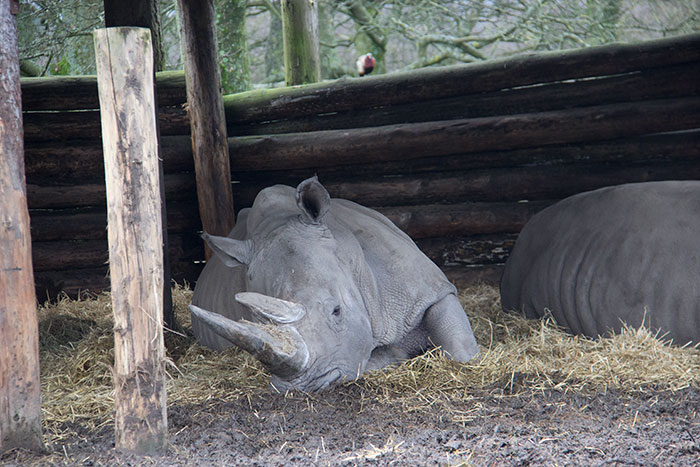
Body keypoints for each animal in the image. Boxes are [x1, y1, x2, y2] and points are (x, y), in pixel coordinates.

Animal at [190, 177, 479, 391]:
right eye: (262, 322)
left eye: (337, 311)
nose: (303, 387)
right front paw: (393, 354)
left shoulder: (430, 289)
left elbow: (460, 349)